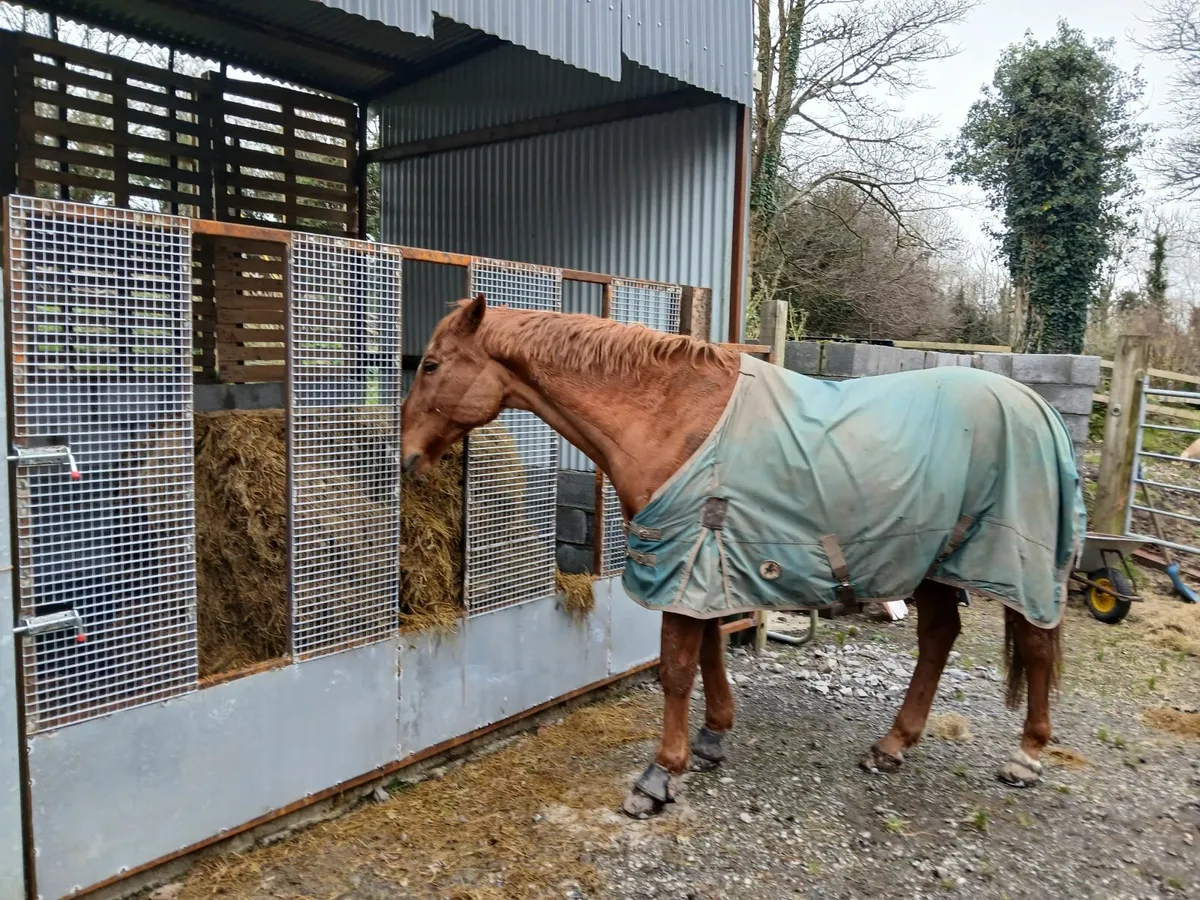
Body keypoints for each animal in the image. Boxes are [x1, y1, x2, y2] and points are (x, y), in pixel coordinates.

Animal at [400, 293, 1082, 819]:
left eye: (430, 364)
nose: (404, 457)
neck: (668, 416)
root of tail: (1040, 409)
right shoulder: (704, 563)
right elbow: (709, 652)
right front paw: (711, 740)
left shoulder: (686, 559)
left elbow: (679, 667)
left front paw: (659, 776)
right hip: (934, 561)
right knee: (939, 638)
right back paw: (892, 745)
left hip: (1010, 564)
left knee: (1034, 643)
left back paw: (1026, 755)